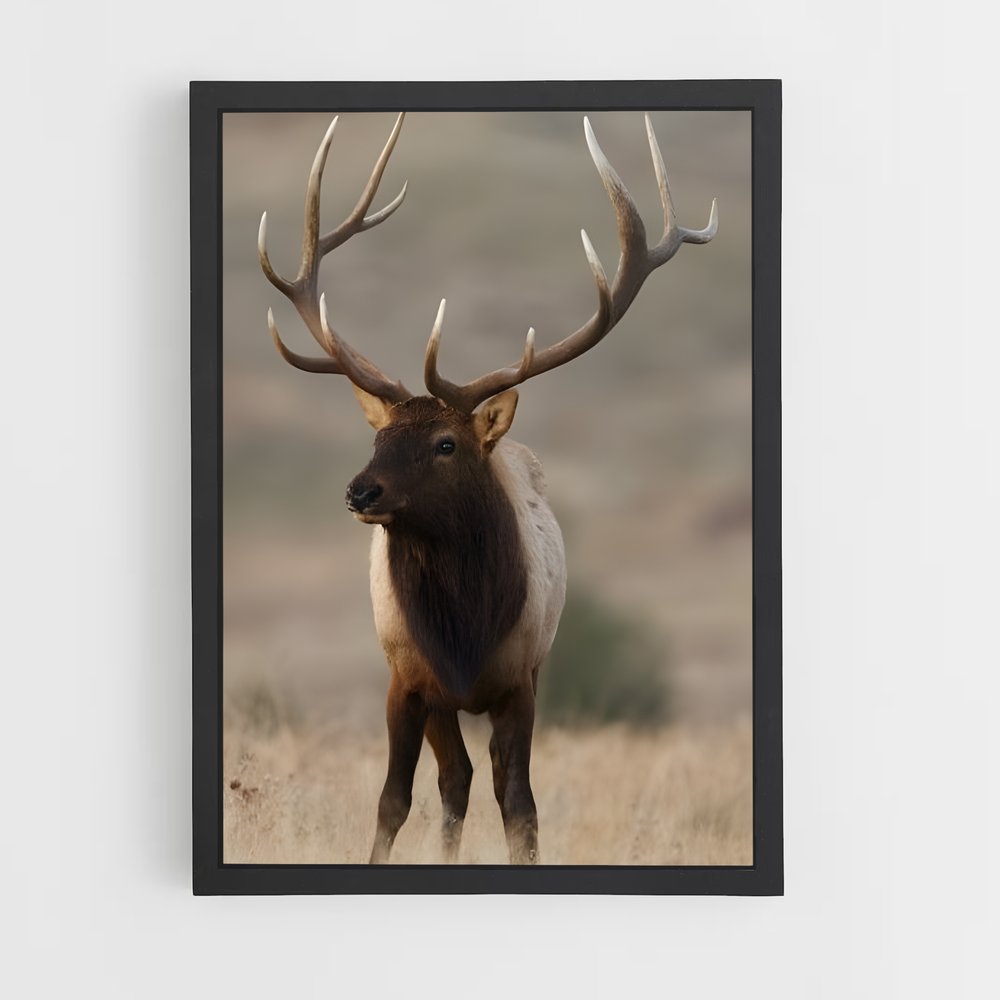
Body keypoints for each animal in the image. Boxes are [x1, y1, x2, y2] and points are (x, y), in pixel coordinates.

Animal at [257, 112, 717, 865]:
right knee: (454, 783)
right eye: (378, 438)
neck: (466, 632)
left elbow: (520, 804)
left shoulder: (521, 678)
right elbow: (394, 800)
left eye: (446, 444)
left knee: (478, 782)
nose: (359, 492)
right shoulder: (407, 678)